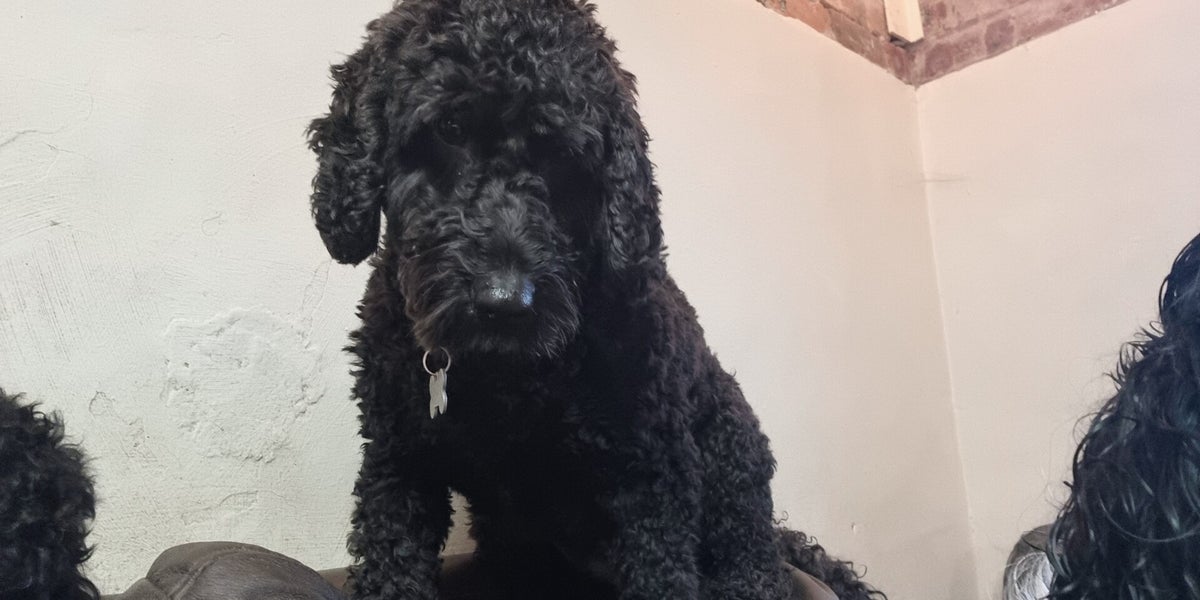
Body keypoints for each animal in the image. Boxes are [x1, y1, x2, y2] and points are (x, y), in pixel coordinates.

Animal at [308, 1, 882, 598]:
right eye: (449, 128)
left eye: (564, 155)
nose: (505, 303)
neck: (505, 377)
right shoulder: (399, 467)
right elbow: (392, 565)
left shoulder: (655, 479)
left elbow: (663, 574)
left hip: (734, 454)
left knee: (754, 563)